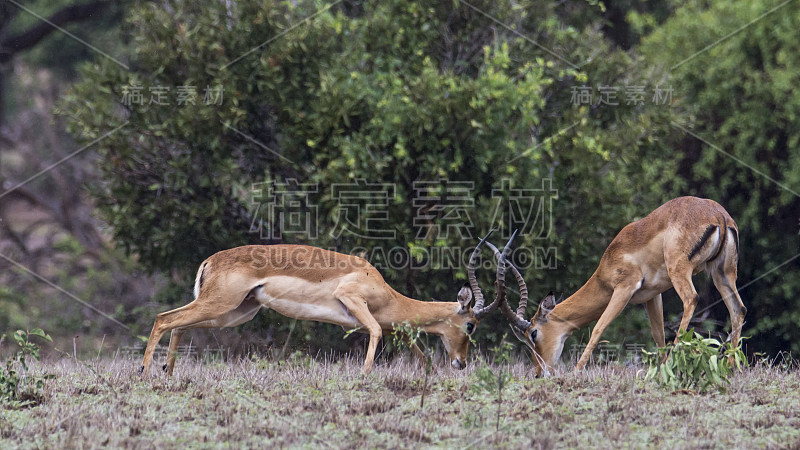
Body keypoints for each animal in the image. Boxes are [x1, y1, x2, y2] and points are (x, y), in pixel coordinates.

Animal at [138, 236, 512, 376]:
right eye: (470, 325)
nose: (462, 362)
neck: (386, 291)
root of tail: (211, 260)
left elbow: (418, 353)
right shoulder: (353, 302)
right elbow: (375, 331)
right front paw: (363, 375)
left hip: (232, 313)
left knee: (178, 324)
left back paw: (167, 371)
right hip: (219, 306)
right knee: (163, 318)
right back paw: (144, 371)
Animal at [496, 197, 748, 376]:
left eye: (533, 333)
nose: (540, 373)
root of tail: (719, 216)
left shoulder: (624, 289)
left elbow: (598, 328)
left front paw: (576, 371)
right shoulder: (652, 295)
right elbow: (657, 334)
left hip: (681, 270)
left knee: (691, 299)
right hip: (722, 273)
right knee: (739, 309)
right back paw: (730, 367)